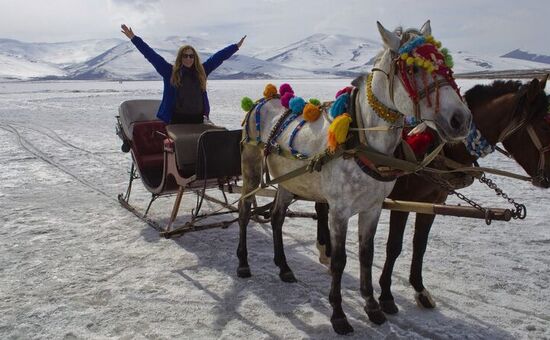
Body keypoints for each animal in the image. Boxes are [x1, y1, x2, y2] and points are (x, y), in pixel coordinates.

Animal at [314, 76, 550, 314]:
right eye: (544, 124)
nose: (548, 178)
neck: (438, 150)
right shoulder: (403, 202)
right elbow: (394, 247)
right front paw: (387, 295)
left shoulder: (432, 203)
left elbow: (420, 246)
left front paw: (420, 290)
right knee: (321, 208)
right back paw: (326, 249)